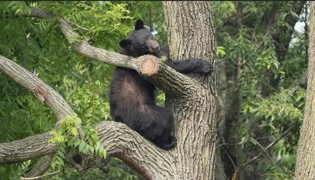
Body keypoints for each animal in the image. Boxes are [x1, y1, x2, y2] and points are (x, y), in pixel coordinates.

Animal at [110, 19, 214, 150]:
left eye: (149, 36)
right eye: (142, 45)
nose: (156, 46)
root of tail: (120, 119)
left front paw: (166, 48)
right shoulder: (145, 62)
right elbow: (173, 66)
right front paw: (204, 65)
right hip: (144, 114)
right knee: (164, 120)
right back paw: (168, 142)